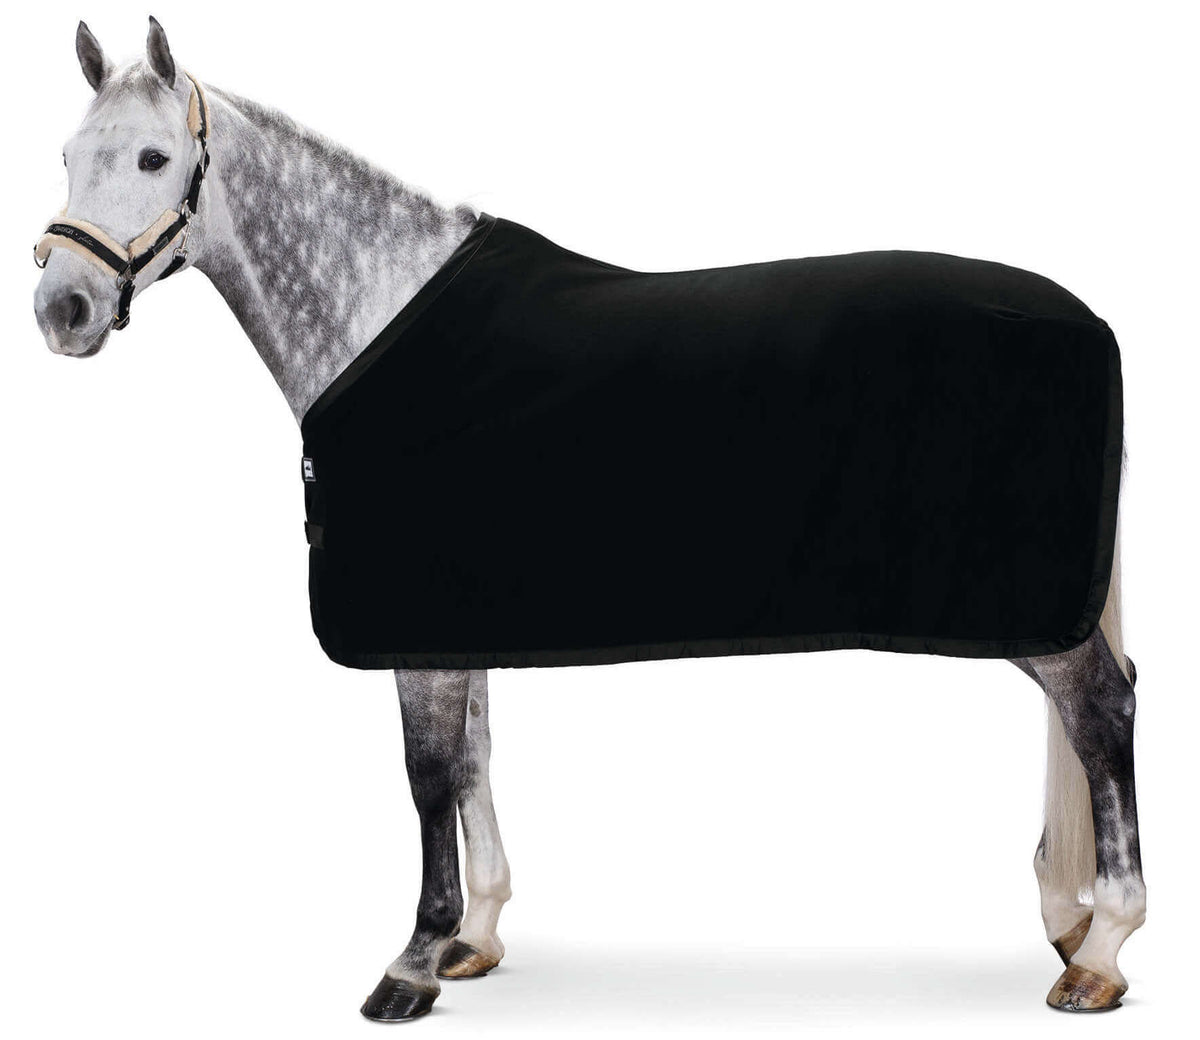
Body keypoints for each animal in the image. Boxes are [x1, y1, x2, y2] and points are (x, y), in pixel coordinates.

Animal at [32, 17, 1146, 1022]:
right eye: (67, 157)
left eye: (154, 157)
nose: (62, 311)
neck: (375, 309)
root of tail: (1090, 320)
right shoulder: (450, 621)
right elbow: (474, 761)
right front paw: (477, 937)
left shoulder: (413, 628)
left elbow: (428, 776)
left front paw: (414, 960)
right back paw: (1071, 922)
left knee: (1102, 711)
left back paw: (1104, 951)